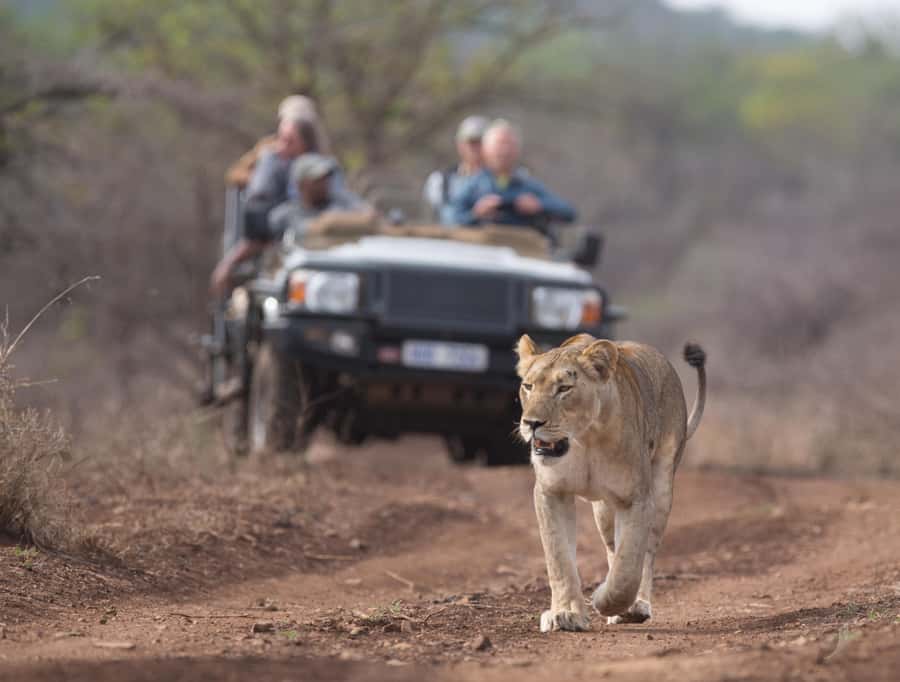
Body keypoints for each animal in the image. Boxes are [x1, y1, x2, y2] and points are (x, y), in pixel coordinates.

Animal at [515, 333, 706, 632]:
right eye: (528, 386)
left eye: (564, 388)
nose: (531, 423)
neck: (584, 440)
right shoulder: (551, 492)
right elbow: (558, 558)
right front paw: (565, 614)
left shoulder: (636, 498)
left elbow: (628, 567)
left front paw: (606, 600)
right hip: (604, 509)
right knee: (611, 548)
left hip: (662, 487)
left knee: (646, 552)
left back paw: (636, 606)